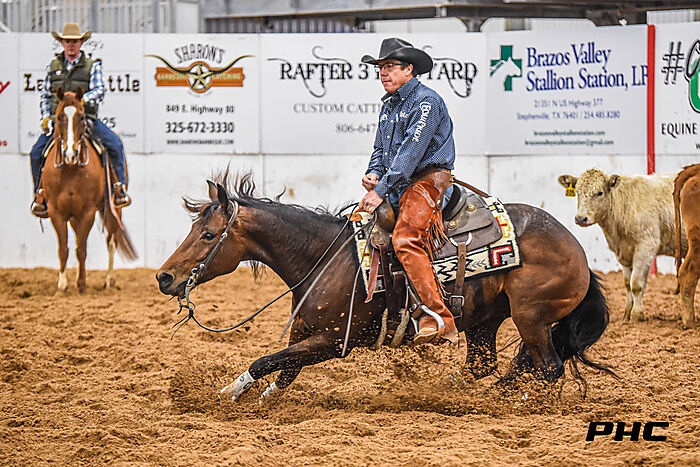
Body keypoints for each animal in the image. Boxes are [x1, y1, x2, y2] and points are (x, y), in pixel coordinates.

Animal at [41, 88, 136, 293]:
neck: (70, 169)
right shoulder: (55, 212)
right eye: (59, 117)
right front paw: (62, 284)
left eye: (82, 117)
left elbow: (82, 249)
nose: (70, 154)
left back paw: (108, 281)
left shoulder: (88, 212)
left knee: (111, 241)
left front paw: (82, 284)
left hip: (114, 208)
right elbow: (64, 249)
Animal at [155, 172, 613, 403]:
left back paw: (517, 404)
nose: (164, 277)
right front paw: (257, 400)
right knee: (494, 365)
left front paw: (228, 392)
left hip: (530, 315)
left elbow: (265, 361)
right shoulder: (306, 337)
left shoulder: (334, 341)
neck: (325, 259)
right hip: (489, 319)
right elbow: (282, 374)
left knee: (548, 367)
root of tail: (579, 252)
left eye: (209, 235)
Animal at [558, 168, 687, 322]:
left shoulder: (646, 246)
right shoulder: (624, 254)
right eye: (577, 191)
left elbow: (636, 284)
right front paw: (627, 314)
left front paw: (637, 315)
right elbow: (627, 284)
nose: (580, 218)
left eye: (600, 193)